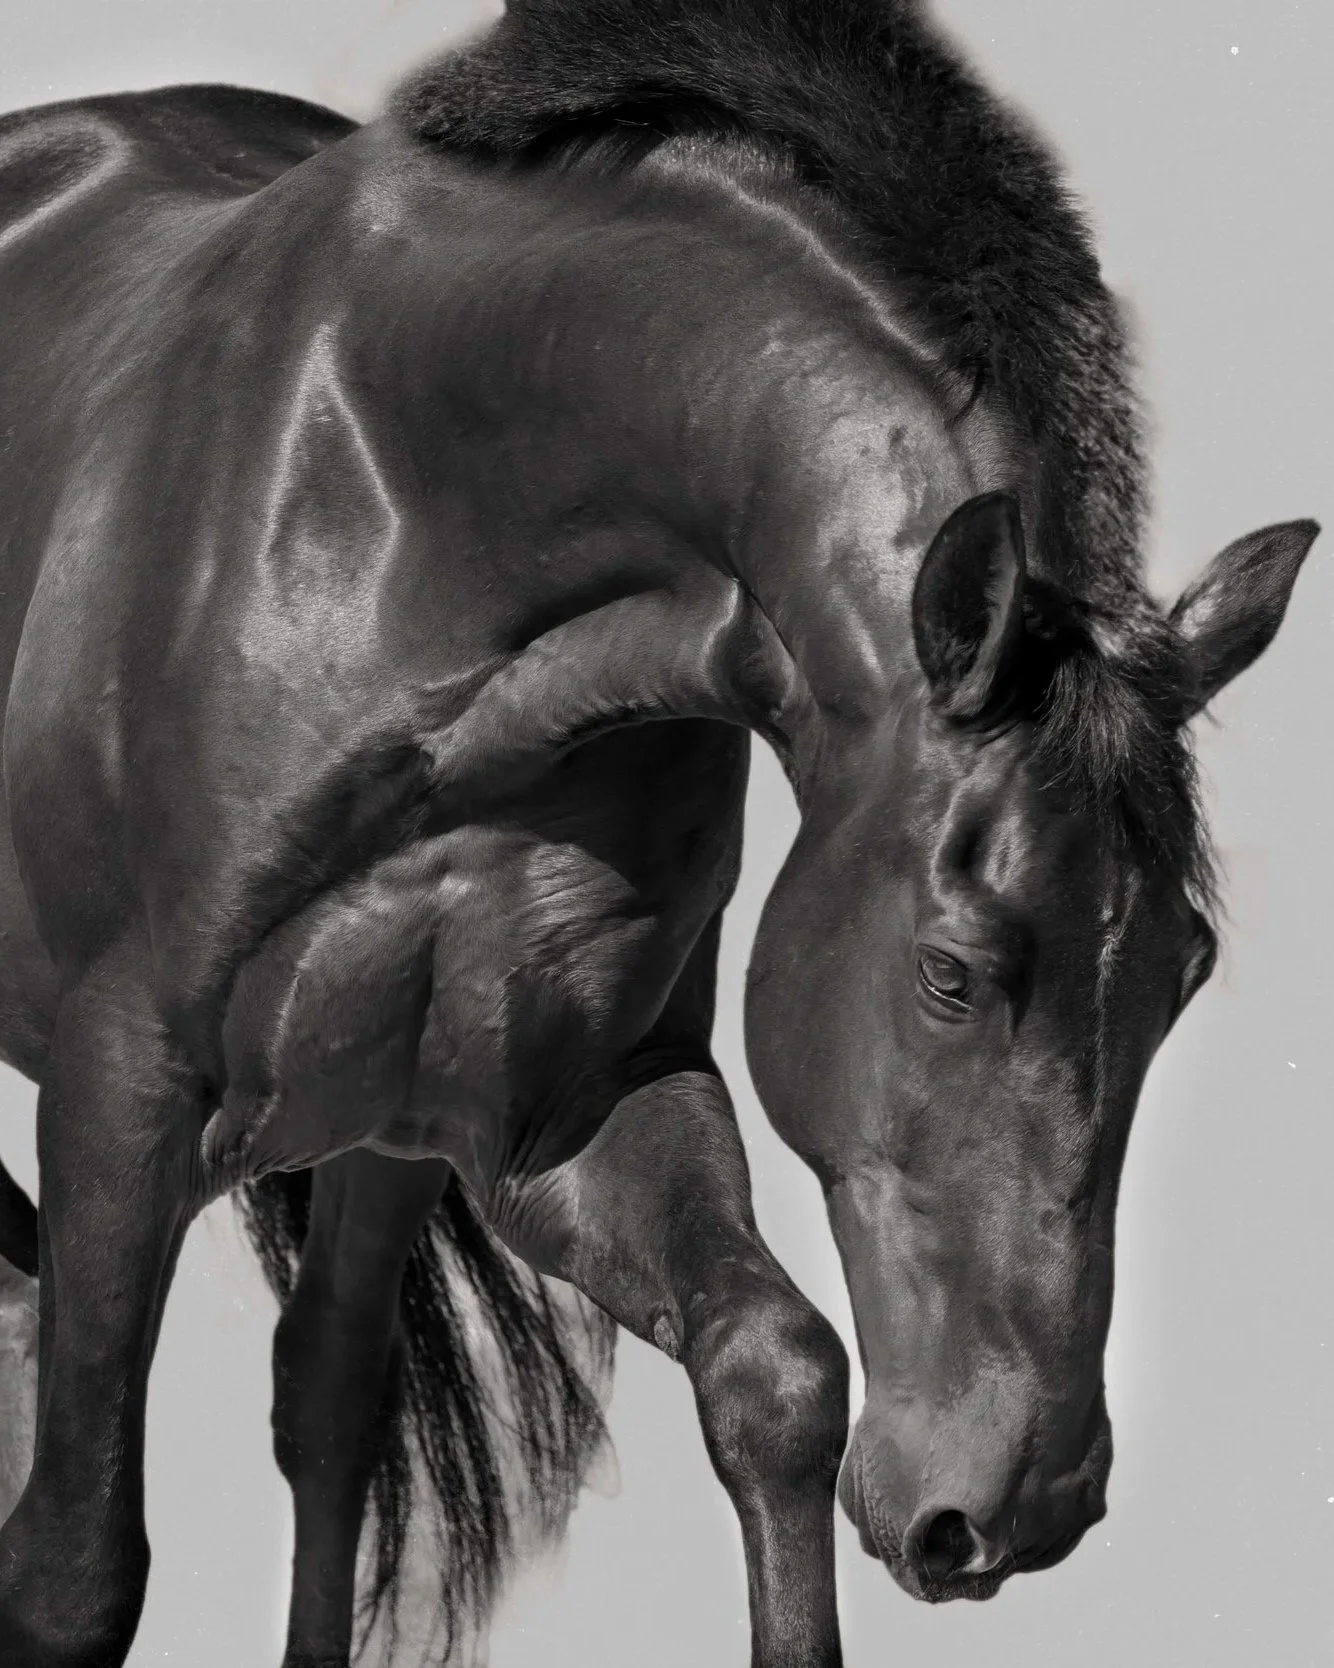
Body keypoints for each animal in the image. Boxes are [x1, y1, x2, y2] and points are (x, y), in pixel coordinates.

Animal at [0, 1, 1319, 1664]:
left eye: (1181, 972)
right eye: (952, 972)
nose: (1019, 1508)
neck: (404, 512)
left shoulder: (553, 1105)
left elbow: (779, 1376)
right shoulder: (122, 1091)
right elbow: (73, 1562)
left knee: (328, 1402)